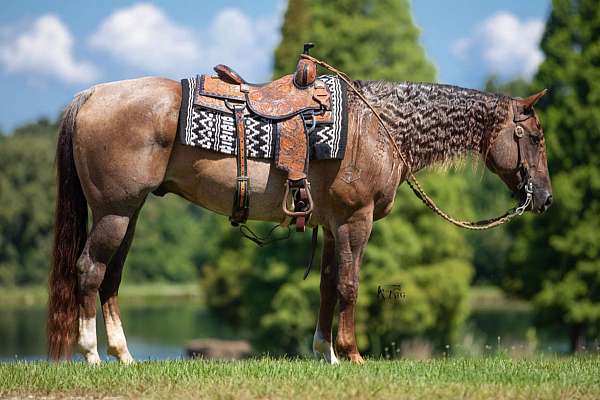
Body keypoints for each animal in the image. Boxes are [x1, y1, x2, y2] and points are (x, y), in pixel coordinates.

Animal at [48, 74, 552, 362]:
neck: (378, 127)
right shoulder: (355, 221)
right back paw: (91, 355)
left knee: (111, 278)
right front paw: (351, 354)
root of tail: (90, 94)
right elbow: (349, 284)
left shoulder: (331, 225)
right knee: (89, 271)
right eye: (535, 136)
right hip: (115, 212)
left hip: (128, 214)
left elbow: (328, 286)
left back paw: (124, 356)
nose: (545, 198)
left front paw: (324, 353)